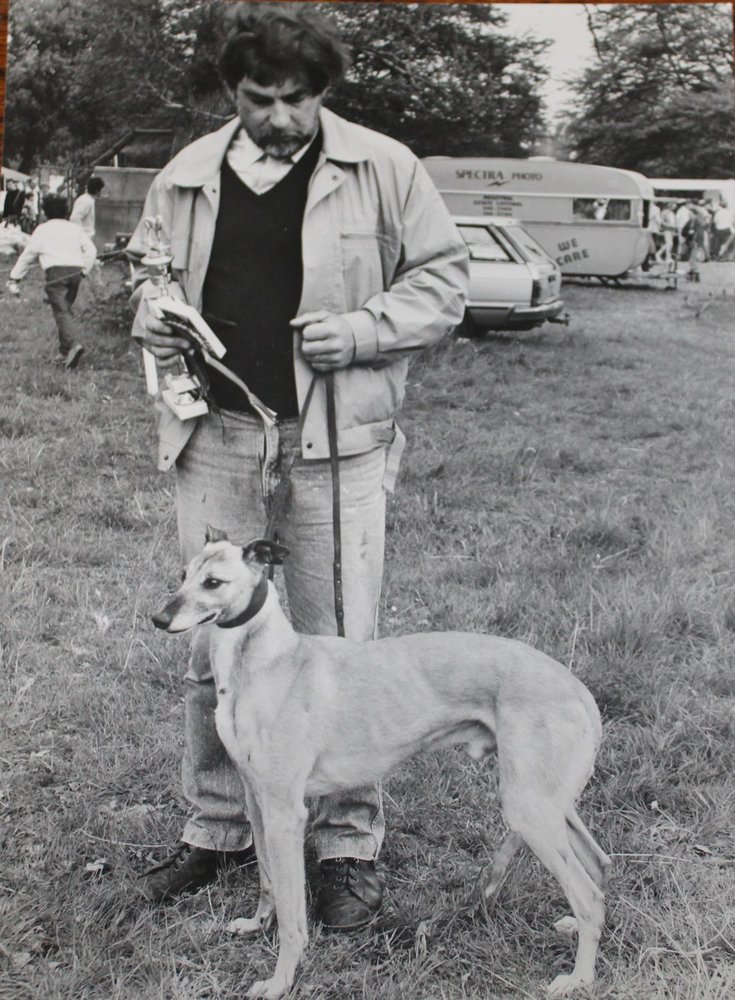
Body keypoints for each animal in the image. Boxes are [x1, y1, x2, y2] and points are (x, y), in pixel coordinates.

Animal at [152, 528, 610, 999]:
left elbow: (293, 916)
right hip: (548, 804)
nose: (159, 618)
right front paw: (257, 924)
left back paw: (579, 978)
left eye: (213, 583)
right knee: (599, 866)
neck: (269, 661)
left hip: (529, 808)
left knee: (589, 894)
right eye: (184, 575)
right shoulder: (258, 802)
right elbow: (269, 881)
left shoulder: (285, 813)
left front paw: (280, 981)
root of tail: (579, 690)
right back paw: (574, 928)